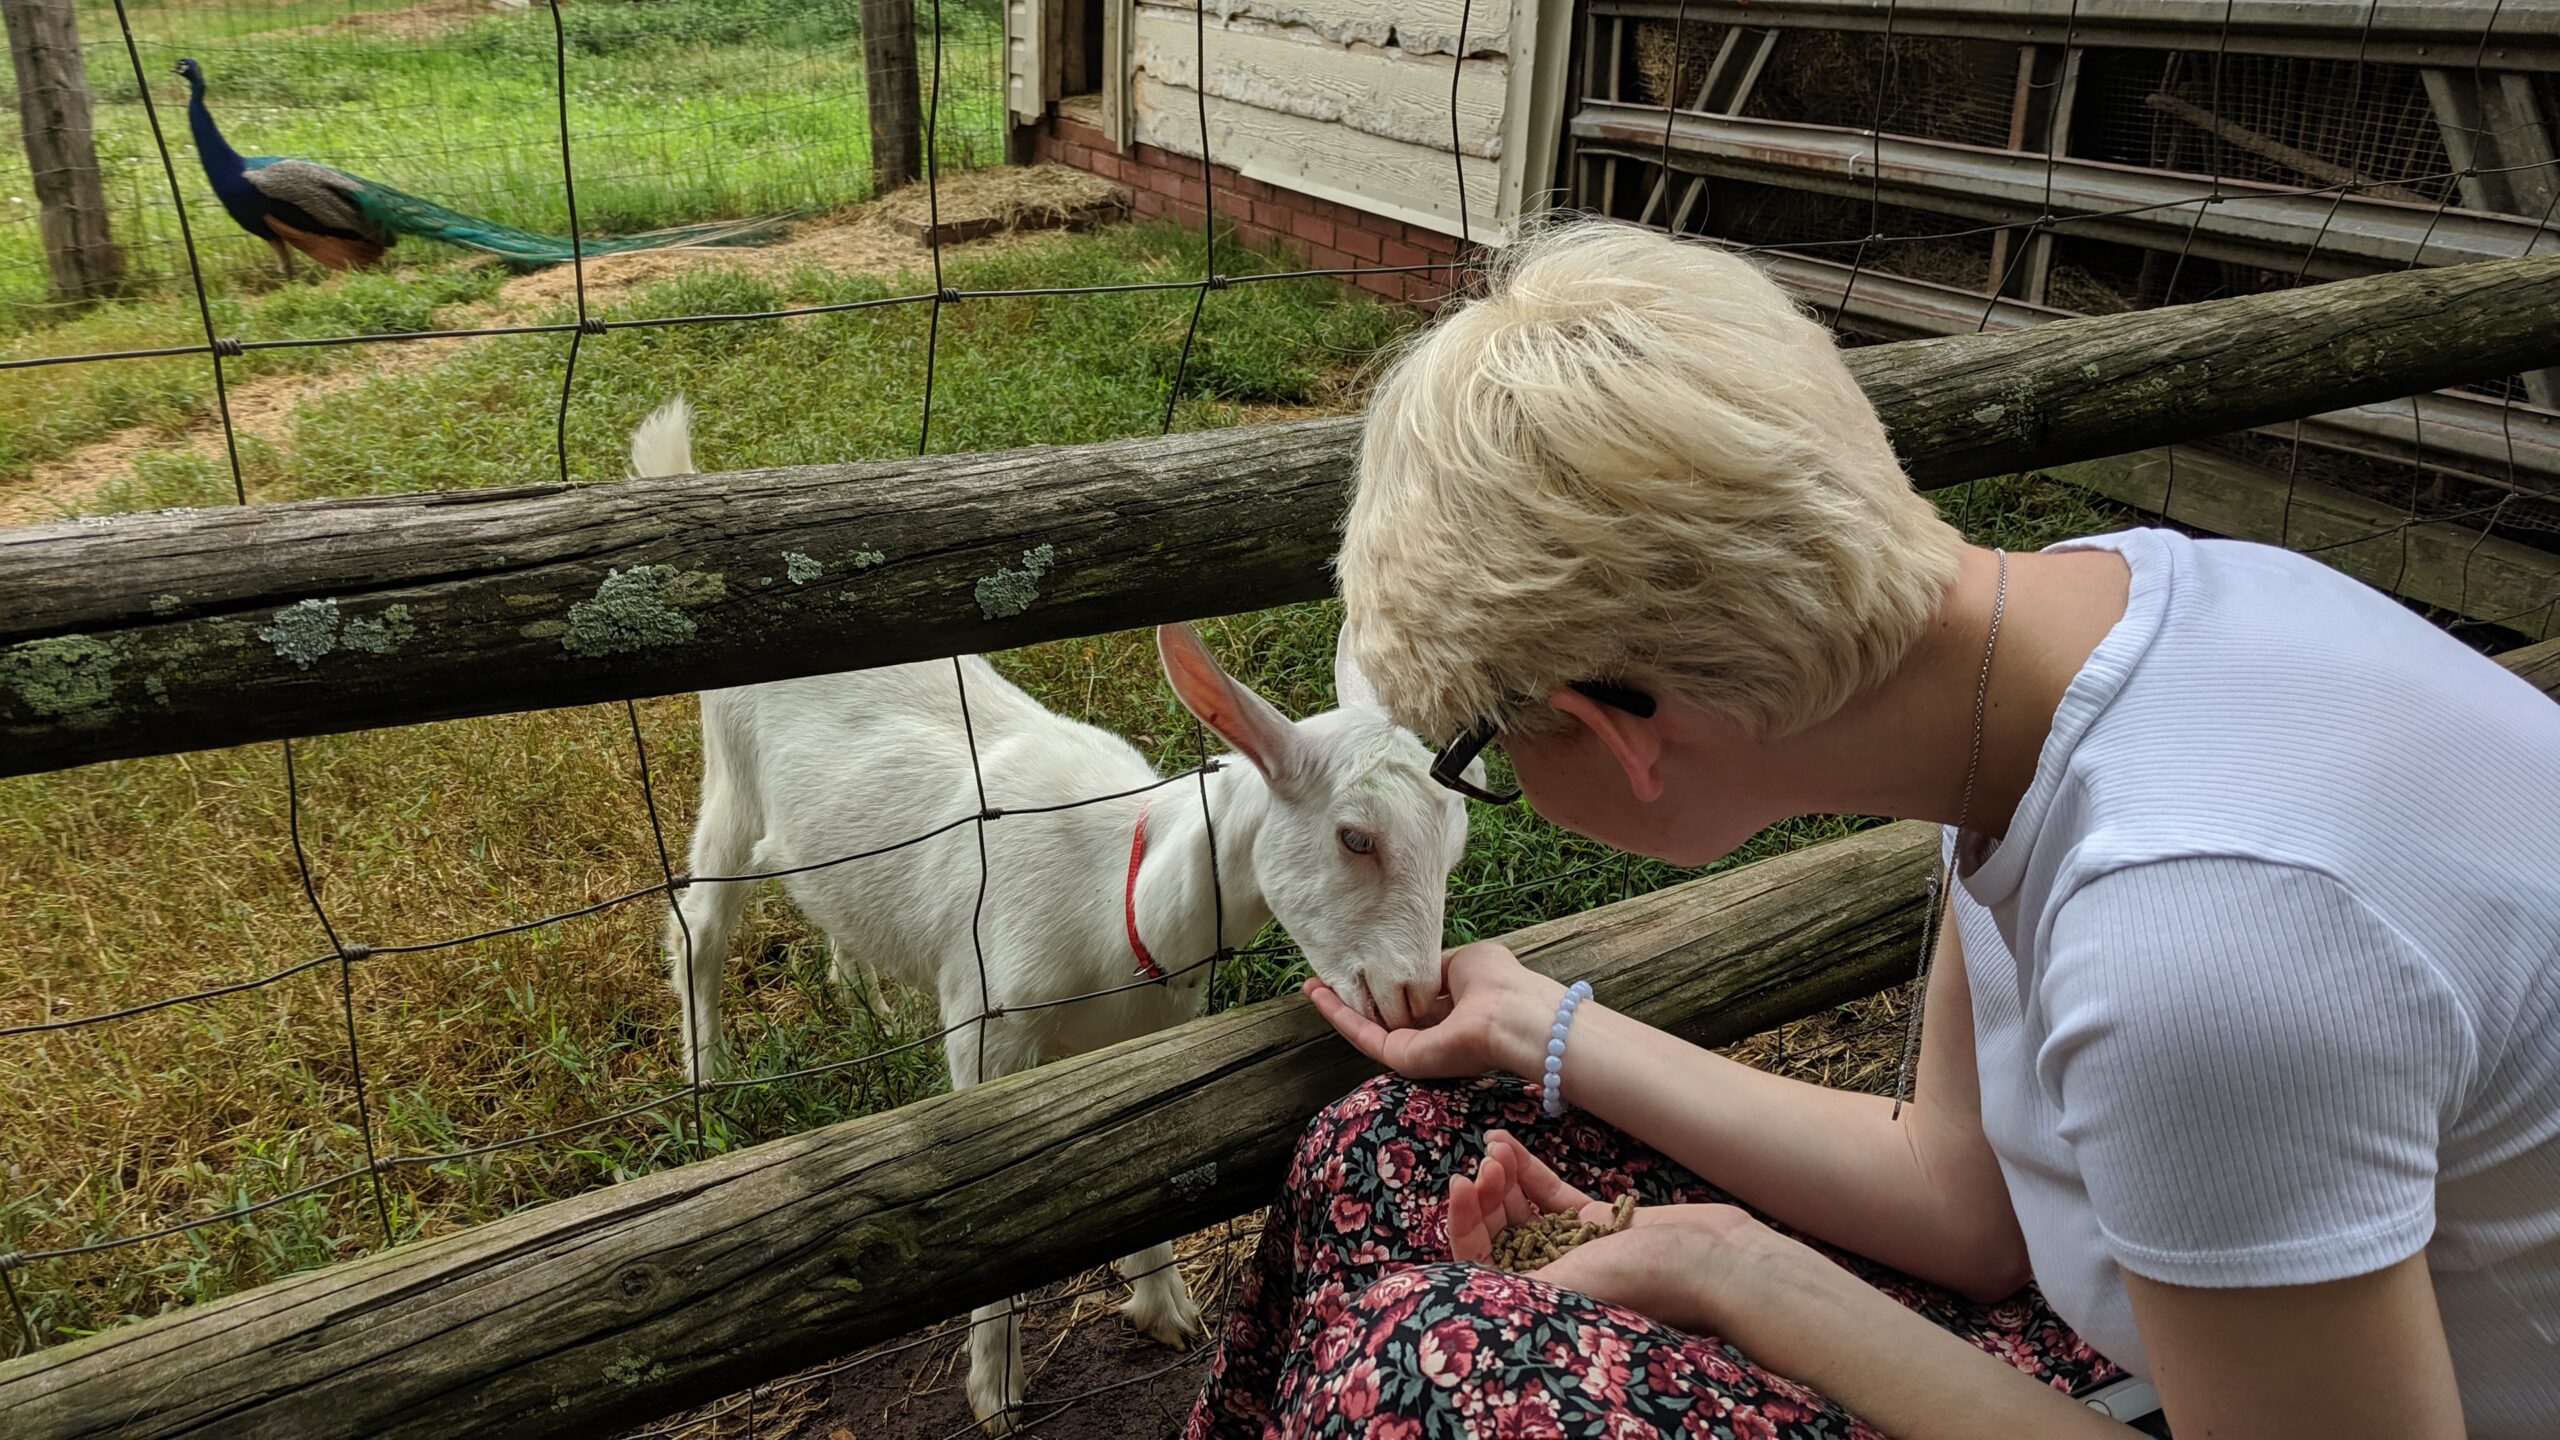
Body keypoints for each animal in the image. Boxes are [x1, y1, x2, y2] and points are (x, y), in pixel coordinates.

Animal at [627, 397, 1484, 1424]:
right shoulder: (989, 1025)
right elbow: (994, 1208)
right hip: (730, 772)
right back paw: (707, 1081)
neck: (1122, 902)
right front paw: (995, 1391)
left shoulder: (1152, 1037)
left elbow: (1145, 1157)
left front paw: (1166, 1308)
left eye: (1457, 842)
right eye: (1356, 838)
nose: (1420, 999)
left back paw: (869, 1004)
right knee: (702, 920)